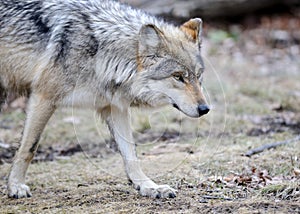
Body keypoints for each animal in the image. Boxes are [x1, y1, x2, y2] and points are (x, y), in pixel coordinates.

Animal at [0, 0, 210, 199]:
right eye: (178, 77)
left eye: (198, 76)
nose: (205, 109)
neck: (101, 53)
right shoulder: (43, 97)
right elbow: (29, 147)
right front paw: (15, 186)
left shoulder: (115, 107)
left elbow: (131, 154)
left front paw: (148, 186)